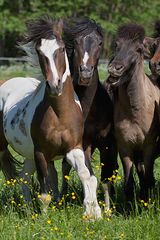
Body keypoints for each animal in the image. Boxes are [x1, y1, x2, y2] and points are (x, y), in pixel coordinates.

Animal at [0, 15, 101, 219]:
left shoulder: (74, 148)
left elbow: (86, 175)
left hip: (28, 154)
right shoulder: (41, 153)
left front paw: (92, 214)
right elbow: (45, 194)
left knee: (23, 178)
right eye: (40, 51)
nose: (55, 85)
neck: (60, 114)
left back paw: (28, 210)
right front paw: (44, 219)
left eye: (61, 49)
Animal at [60, 17, 119, 210]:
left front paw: (108, 209)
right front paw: (93, 206)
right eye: (76, 41)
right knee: (65, 167)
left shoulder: (108, 143)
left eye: (100, 43)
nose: (85, 72)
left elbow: (106, 177)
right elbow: (88, 172)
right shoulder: (84, 143)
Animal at [106, 23, 160, 202]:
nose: (114, 69)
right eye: (116, 45)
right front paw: (130, 204)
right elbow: (129, 182)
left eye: (138, 49)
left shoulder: (149, 147)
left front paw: (146, 201)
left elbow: (148, 178)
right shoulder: (125, 148)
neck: (135, 111)